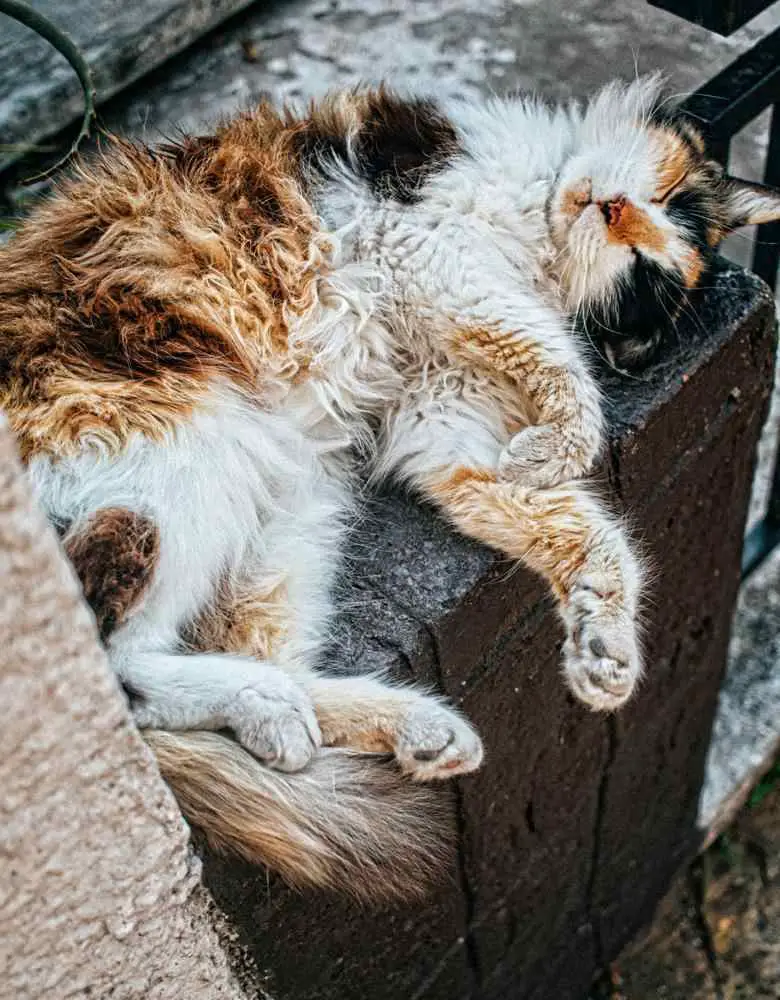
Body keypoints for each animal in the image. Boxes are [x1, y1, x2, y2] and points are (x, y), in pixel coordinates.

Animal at [3, 72, 776, 900]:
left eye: (641, 270)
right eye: (657, 199)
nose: (608, 208)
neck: (534, 233)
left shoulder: (445, 422)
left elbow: (588, 530)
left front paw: (604, 647)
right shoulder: (426, 248)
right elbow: (553, 353)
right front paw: (564, 441)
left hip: (289, 513)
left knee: (199, 671)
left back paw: (391, 728)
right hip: (187, 456)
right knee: (118, 684)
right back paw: (288, 712)